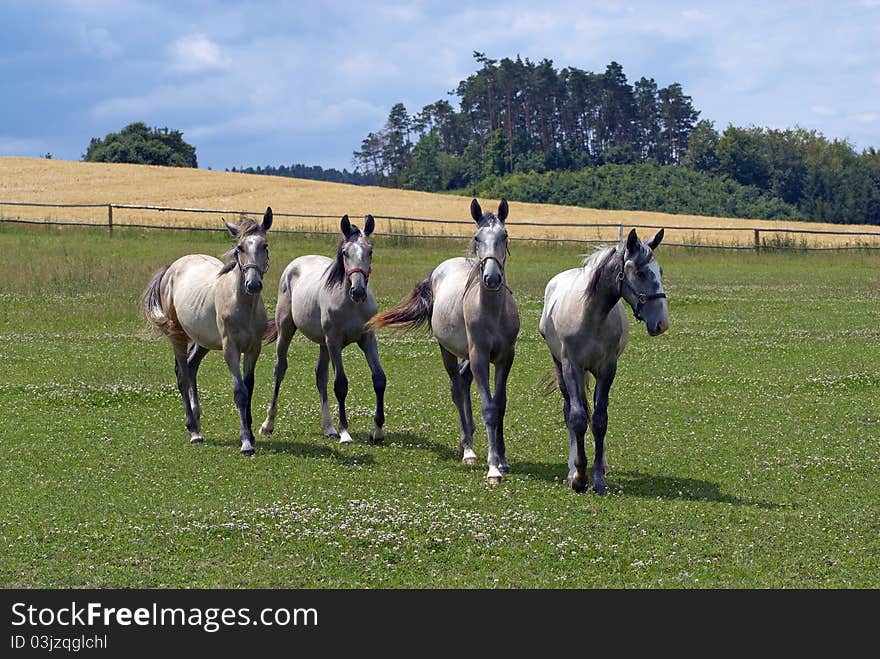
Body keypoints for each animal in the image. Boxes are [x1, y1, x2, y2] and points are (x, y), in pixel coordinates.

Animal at [141, 206, 276, 454]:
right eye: (240, 248)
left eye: (265, 245)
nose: (253, 284)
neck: (242, 305)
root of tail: (171, 268)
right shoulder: (230, 349)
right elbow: (239, 391)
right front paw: (245, 442)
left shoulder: (254, 348)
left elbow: (249, 387)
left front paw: (251, 434)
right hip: (178, 336)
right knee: (182, 375)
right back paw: (194, 430)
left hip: (202, 340)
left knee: (191, 366)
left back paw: (196, 417)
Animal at [260, 214, 386, 446]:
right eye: (345, 252)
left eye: (370, 251)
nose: (358, 291)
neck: (351, 305)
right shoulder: (334, 342)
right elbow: (341, 384)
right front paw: (345, 433)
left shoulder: (367, 339)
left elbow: (379, 379)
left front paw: (378, 430)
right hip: (287, 330)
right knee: (280, 369)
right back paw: (268, 424)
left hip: (323, 344)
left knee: (320, 377)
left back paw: (329, 428)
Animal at [368, 199, 520, 482]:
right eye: (477, 237)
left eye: (504, 236)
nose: (492, 278)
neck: (493, 311)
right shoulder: (480, 357)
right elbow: (489, 409)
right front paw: (493, 468)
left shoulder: (506, 358)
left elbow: (500, 405)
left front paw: (503, 460)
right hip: (447, 351)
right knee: (458, 390)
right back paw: (468, 450)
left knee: (463, 382)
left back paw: (467, 440)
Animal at [540, 229, 672, 492]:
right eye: (640, 273)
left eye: (660, 271)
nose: (662, 324)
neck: (591, 316)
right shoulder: (572, 367)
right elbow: (577, 418)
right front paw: (579, 477)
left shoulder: (607, 370)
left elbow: (600, 420)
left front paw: (599, 479)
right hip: (561, 368)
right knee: (569, 410)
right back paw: (572, 468)